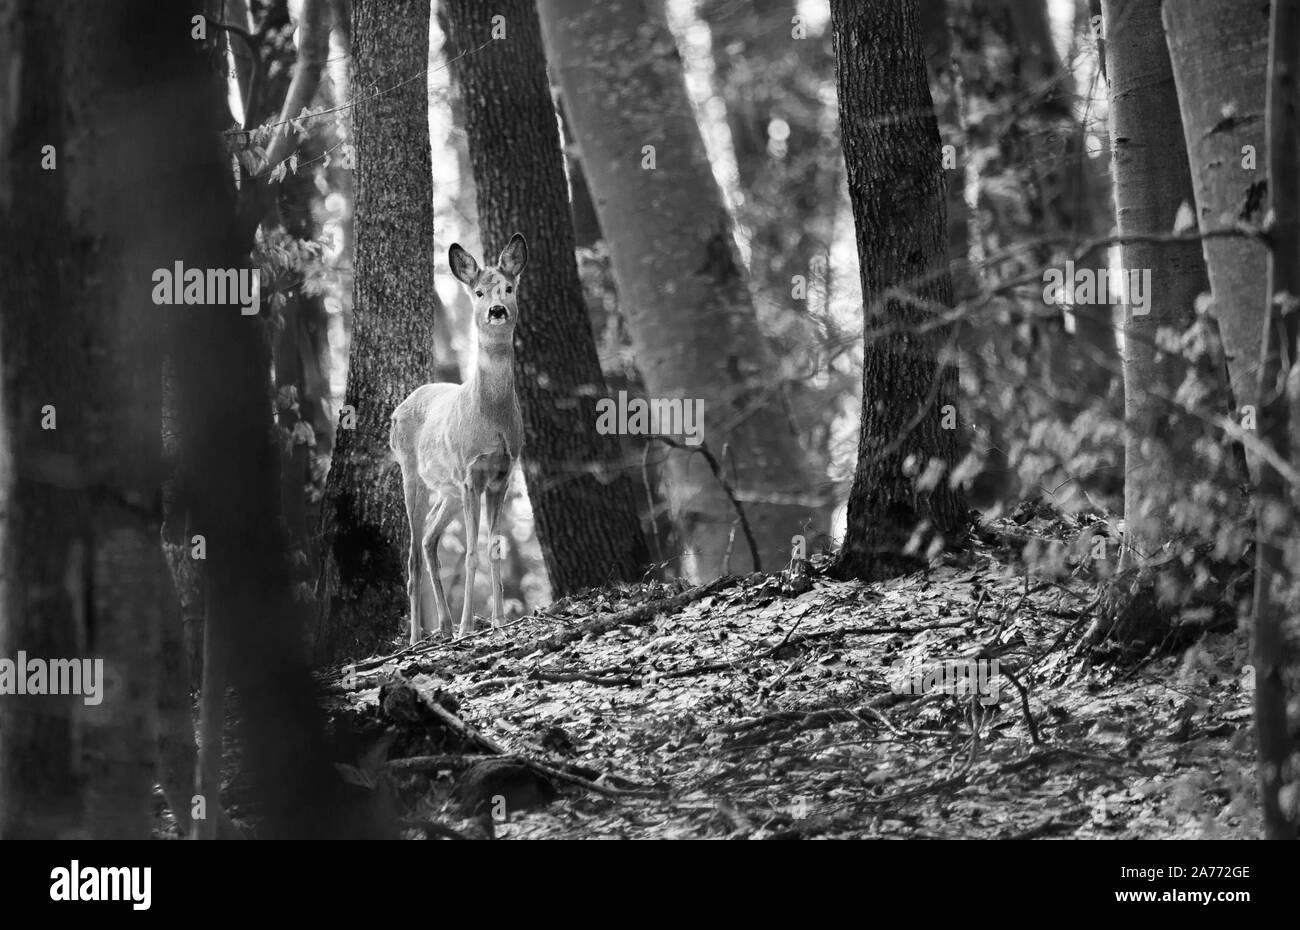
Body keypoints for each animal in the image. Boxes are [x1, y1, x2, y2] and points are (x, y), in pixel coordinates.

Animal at [387, 234, 525, 639]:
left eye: (509, 288)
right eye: (478, 292)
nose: (497, 310)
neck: (490, 417)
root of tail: (399, 408)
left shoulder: (502, 475)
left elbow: (493, 547)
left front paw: (498, 621)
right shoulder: (469, 474)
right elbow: (470, 552)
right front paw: (469, 627)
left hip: (446, 491)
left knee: (430, 539)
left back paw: (445, 626)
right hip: (413, 475)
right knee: (413, 555)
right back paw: (418, 636)